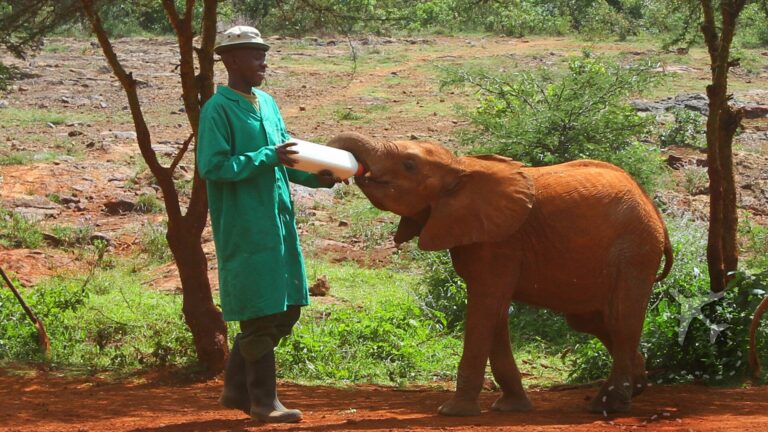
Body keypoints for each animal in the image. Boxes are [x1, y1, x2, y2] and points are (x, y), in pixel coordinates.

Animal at [327, 132, 673, 416]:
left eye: (409, 165)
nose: (342, 172)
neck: (460, 167)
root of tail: (655, 211)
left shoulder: (499, 242)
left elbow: (483, 307)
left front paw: (453, 412)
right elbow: (494, 314)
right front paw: (511, 407)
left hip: (634, 249)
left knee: (620, 319)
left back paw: (610, 405)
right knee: (590, 320)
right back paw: (635, 387)